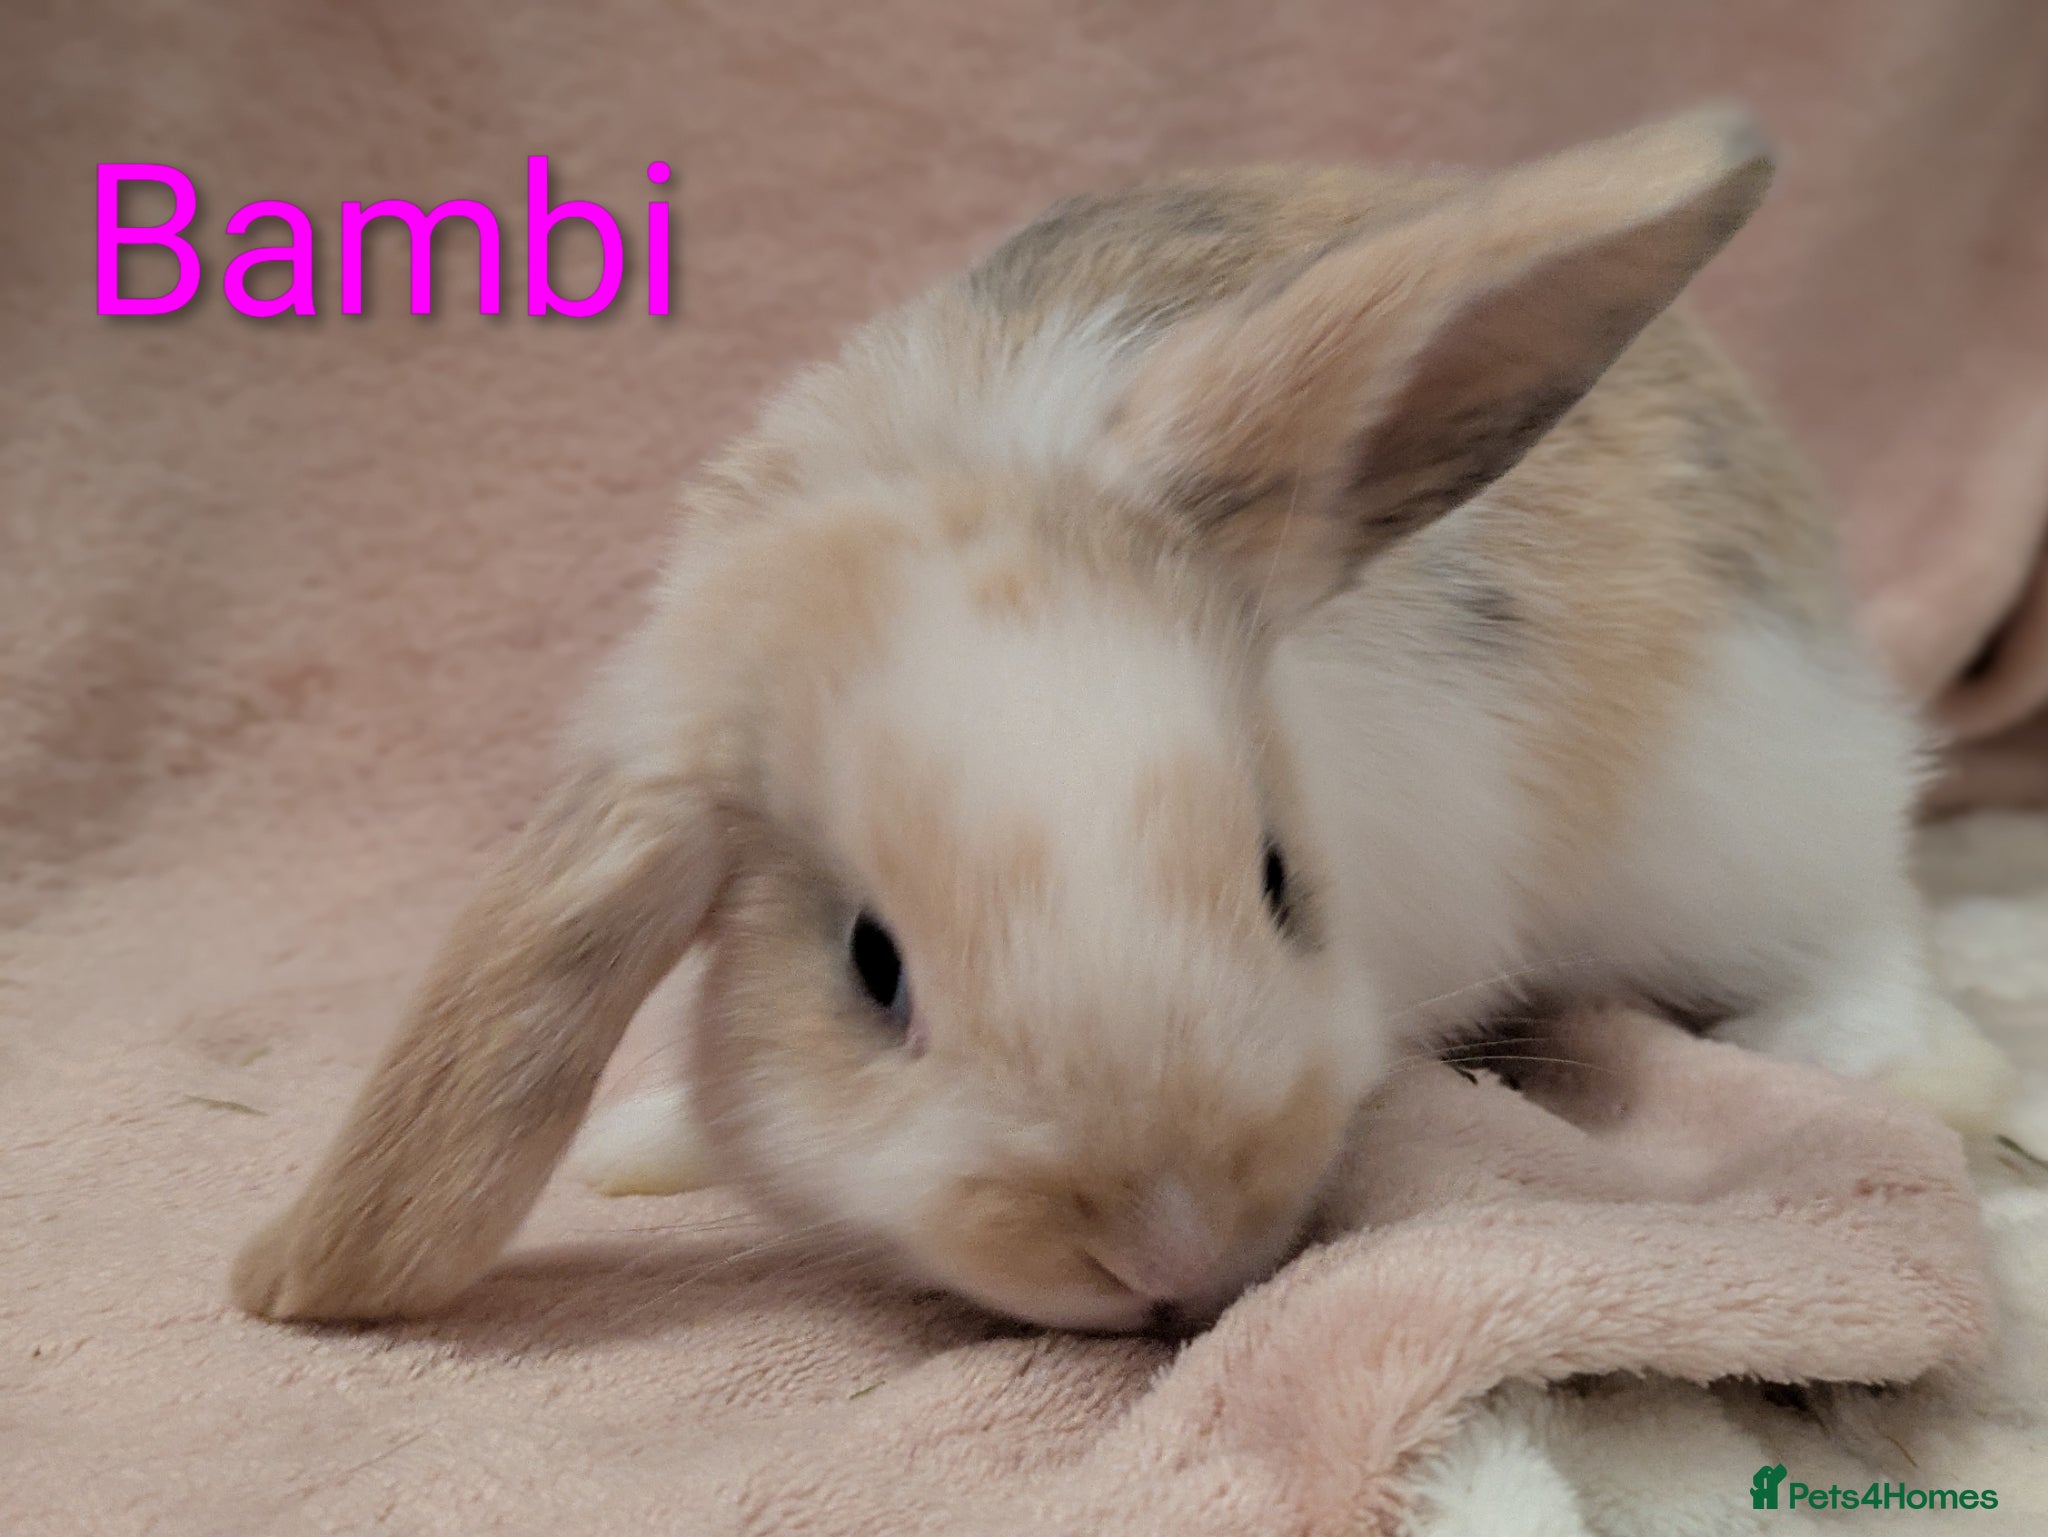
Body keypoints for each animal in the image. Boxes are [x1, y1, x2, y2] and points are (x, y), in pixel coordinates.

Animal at [231, 105, 2014, 1335]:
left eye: (1282, 881)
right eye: (870, 969)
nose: (1170, 1250)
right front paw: (642, 1146)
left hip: (1747, 803)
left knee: (1860, 912)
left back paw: (1906, 1073)